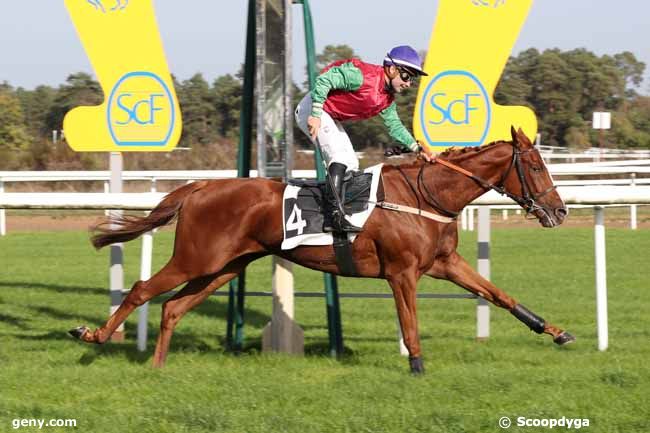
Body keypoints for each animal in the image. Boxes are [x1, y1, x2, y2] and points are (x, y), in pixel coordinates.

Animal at [71, 127, 572, 372]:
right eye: (534, 166)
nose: (560, 211)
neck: (426, 195)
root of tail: (199, 187)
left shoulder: (444, 263)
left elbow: (498, 295)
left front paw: (555, 331)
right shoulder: (402, 273)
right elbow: (410, 324)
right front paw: (417, 366)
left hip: (225, 266)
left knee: (173, 307)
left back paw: (157, 365)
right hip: (196, 258)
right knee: (141, 289)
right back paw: (93, 336)